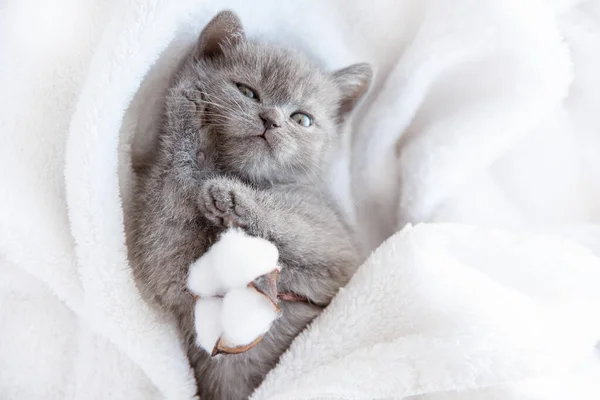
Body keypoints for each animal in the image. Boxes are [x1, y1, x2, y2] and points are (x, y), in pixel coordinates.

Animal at [127, 10, 370, 400]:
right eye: (246, 91)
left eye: (301, 119)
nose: (270, 119)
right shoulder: (168, 269)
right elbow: (165, 254)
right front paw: (186, 106)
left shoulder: (339, 250)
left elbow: (293, 225)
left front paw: (231, 196)